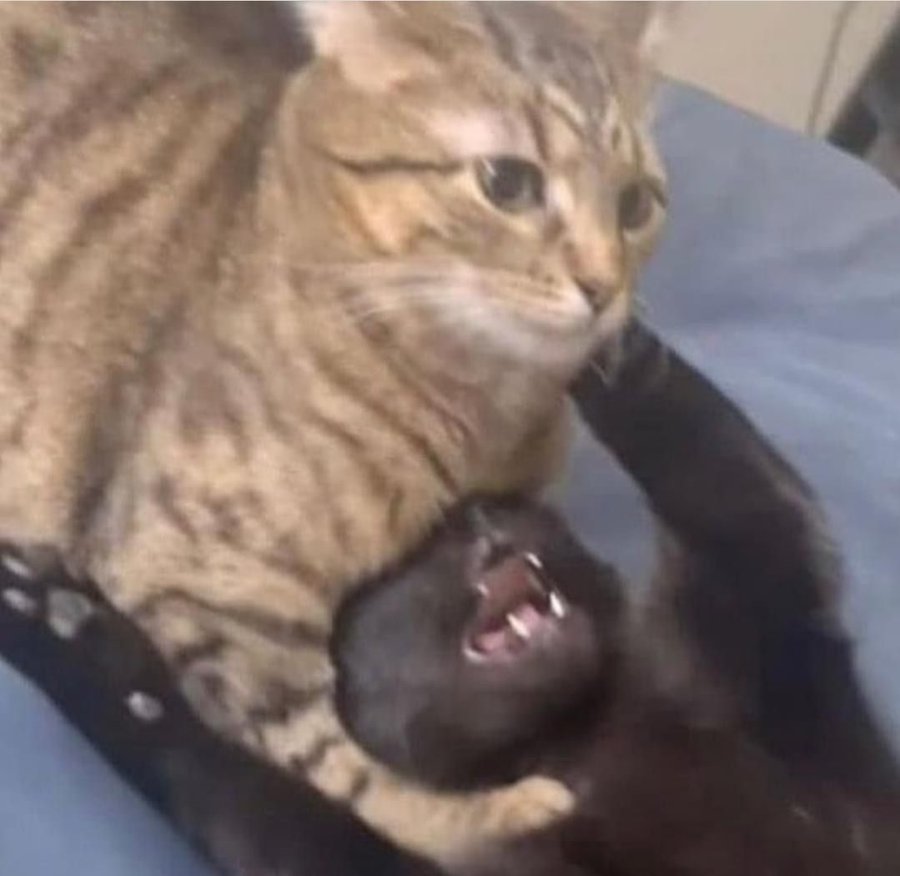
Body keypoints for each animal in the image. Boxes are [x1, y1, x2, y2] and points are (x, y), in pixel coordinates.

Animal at [0, 1, 668, 857]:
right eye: (507, 183)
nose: (603, 287)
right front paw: (493, 813)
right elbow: (339, 769)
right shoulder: (213, 591)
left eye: (636, 205)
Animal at [4, 322, 898, 876]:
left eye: (491, 508)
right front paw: (62, 627)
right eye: (402, 565)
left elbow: (721, 468)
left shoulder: (769, 623)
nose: (474, 521)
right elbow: (223, 774)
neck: (577, 738)